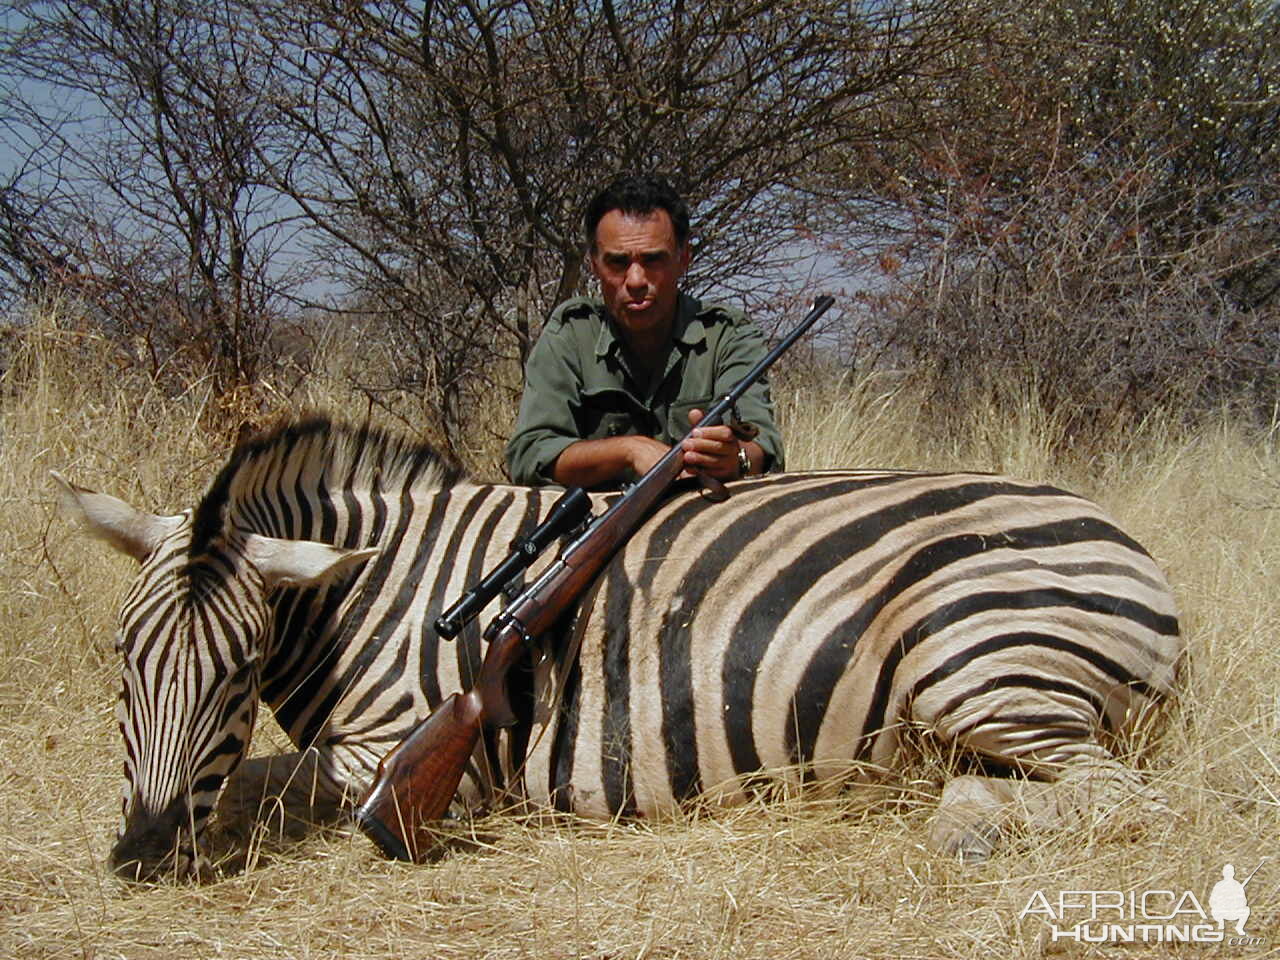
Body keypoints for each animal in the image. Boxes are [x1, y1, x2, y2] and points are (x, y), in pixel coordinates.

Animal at [57, 414, 1177, 880]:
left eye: (240, 670)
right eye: (121, 659)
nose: (140, 855)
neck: (378, 593)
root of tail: (1129, 542)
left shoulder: (414, 760)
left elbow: (280, 779)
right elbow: (254, 780)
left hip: (978, 665)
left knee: (1120, 799)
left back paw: (963, 829)